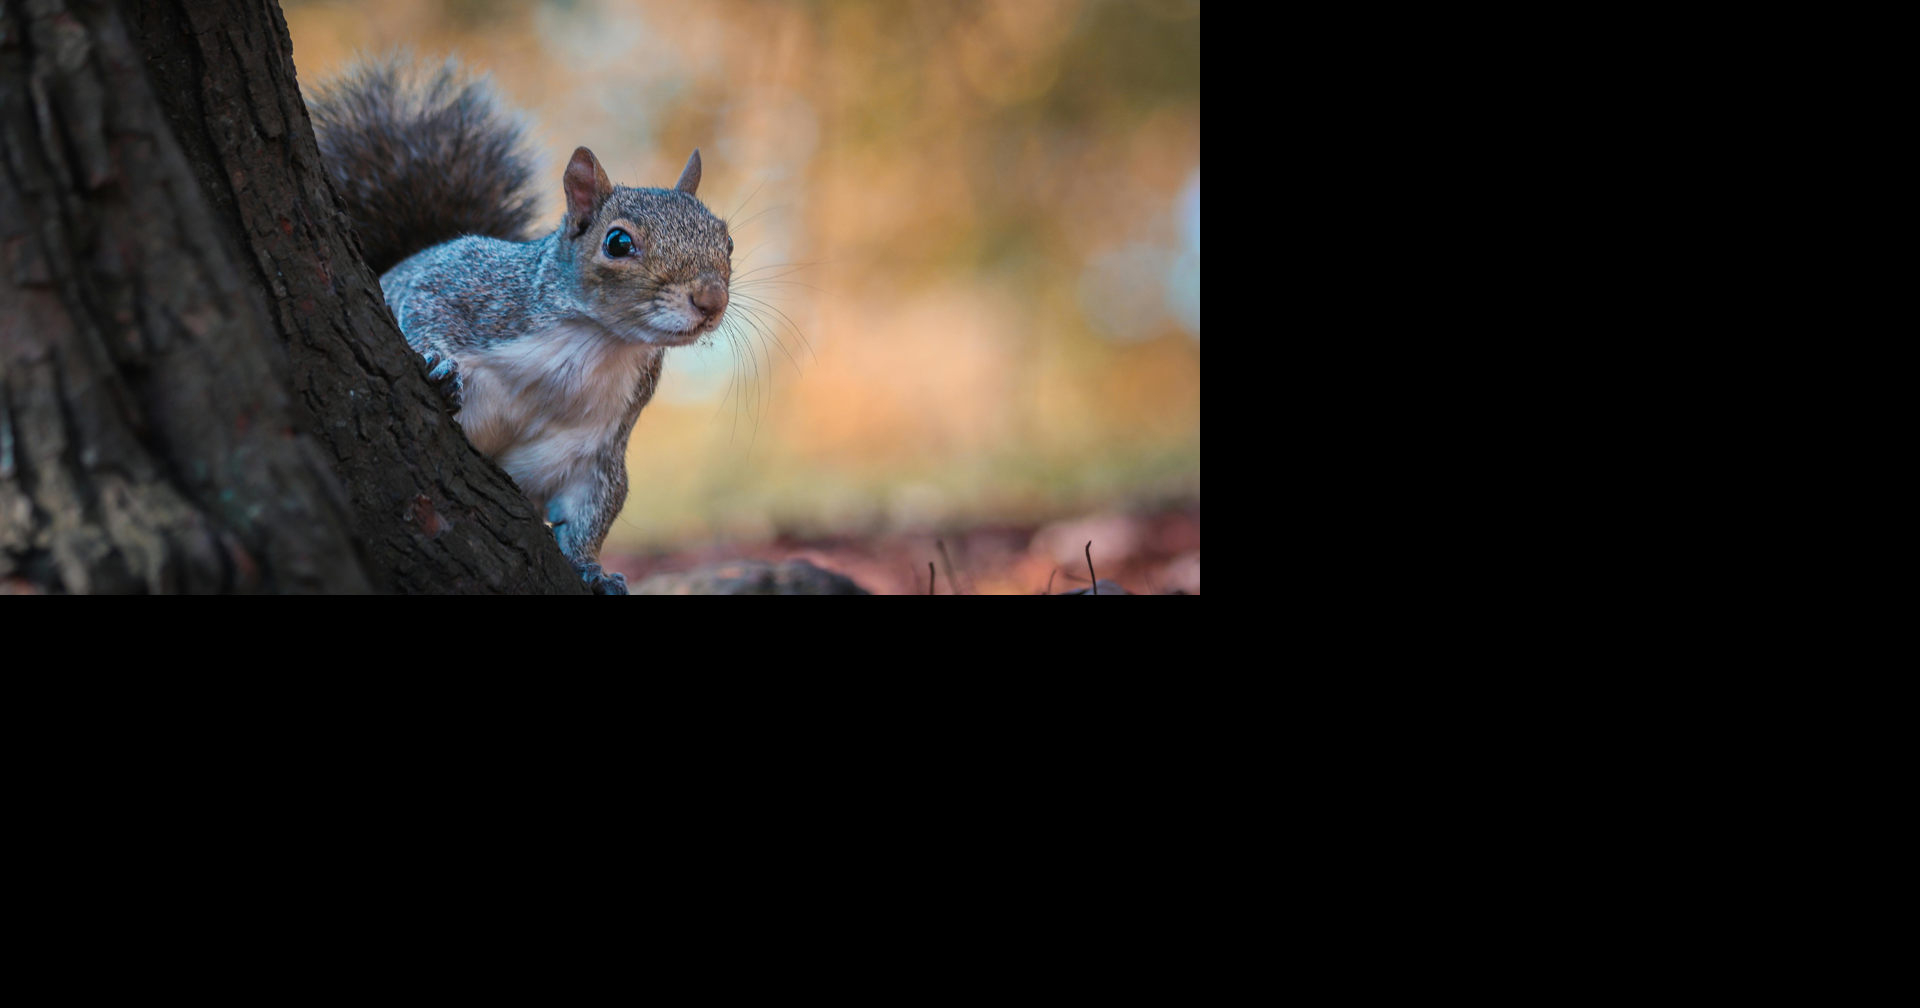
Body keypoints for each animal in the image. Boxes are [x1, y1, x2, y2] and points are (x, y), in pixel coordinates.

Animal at [308, 57, 733, 595]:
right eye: (617, 243)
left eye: (728, 240)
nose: (712, 300)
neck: (594, 341)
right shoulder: (461, 284)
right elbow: (422, 311)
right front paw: (437, 368)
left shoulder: (598, 452)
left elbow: (591, 511)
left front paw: (593, 570)